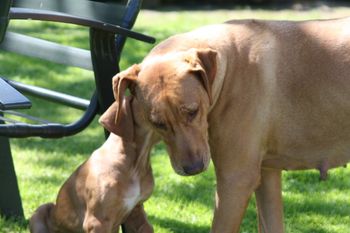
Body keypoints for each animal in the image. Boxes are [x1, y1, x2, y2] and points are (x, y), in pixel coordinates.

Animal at [108, 18, 350, 233]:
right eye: (157, 123)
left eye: (192, 111)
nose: (193, 168)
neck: (226, 70)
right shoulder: (267, 173)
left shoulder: (235, 181)